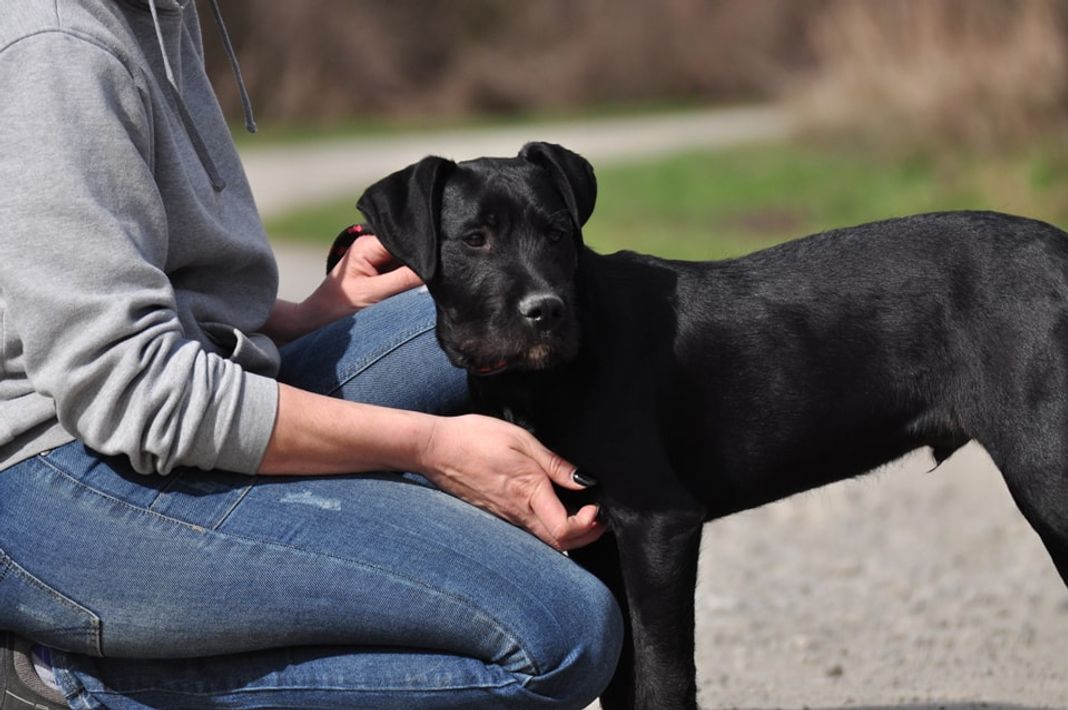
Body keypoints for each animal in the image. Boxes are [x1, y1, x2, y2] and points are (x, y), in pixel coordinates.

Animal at [345, 142, 1068, 709]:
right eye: (475, 239)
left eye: (557, 234)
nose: (546, 311)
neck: (545, 373)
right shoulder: (597, 531)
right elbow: (623, 681)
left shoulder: (658, 523)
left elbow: (663, 677)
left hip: (1047, 467)